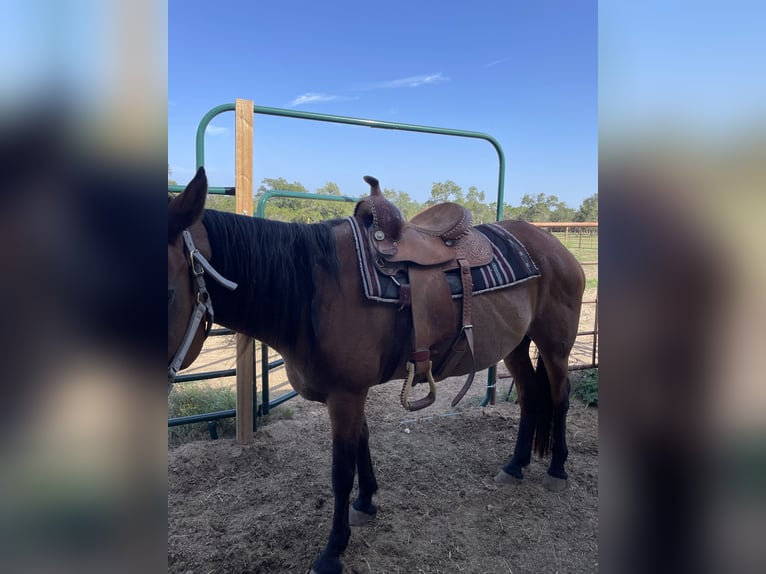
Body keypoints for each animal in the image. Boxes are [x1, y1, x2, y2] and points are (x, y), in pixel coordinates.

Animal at [170, 169, 588, 574]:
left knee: (559, 397)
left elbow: (341, 470)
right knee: (531, 396)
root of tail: (552, 245)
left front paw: (333, 550)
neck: (314, 289)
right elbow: (362, 443)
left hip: (554, 346)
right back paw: (515, 465)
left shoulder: (345, 395)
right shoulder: (352, 392)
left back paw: (556, 469)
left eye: (166, 289)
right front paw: (366, 502)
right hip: (515, 344)